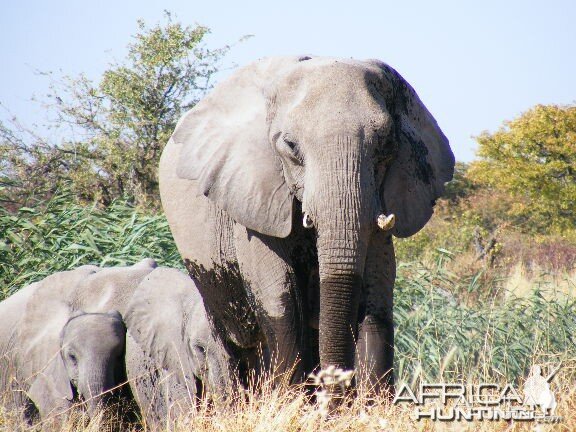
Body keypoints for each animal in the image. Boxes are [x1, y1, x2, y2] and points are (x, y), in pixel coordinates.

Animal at [159, 55, 454, 394]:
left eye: (385, 144)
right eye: (290, 145)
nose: (337, 389)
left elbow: (376, 296)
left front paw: (369, 402)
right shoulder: (254, 205)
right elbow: (281, 302)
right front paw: (290, 400)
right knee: (231, 341)